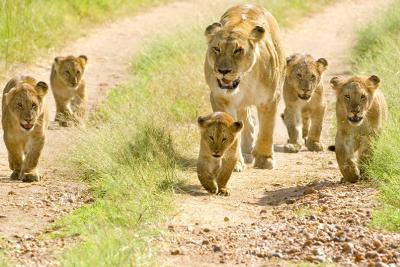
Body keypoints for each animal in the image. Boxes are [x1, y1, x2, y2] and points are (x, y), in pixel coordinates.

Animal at [205, 4, 286, 171]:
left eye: (238, 50)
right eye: (217, 49)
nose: (223, 71)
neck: (244, 80)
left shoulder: (270, 99)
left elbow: (267, 130)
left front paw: (265, 160)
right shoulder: (220, 98)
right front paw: (233, 163)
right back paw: (247, 150)